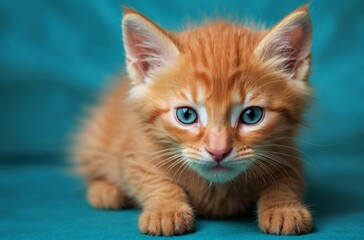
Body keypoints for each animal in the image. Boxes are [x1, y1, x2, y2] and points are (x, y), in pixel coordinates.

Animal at [73, 5, 312, 236]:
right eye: (186, 115)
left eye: (251, 115)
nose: (218, 151)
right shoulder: (135, 152)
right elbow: (152, 180)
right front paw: (166, 211)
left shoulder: (287, 152)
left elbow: (287, 180)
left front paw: (284, 208)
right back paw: (105, 191)